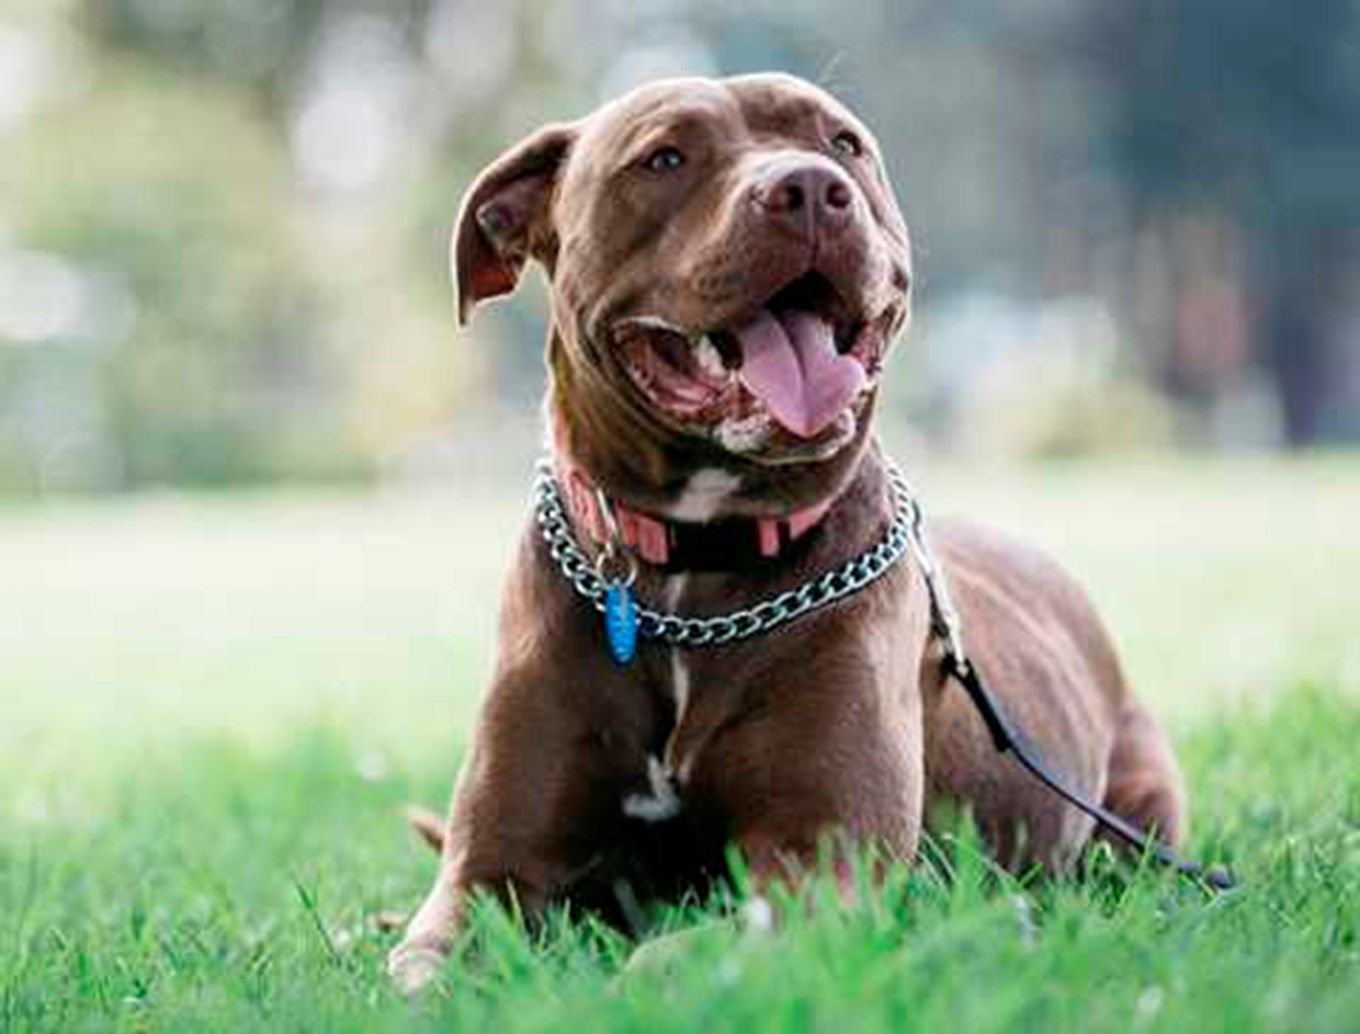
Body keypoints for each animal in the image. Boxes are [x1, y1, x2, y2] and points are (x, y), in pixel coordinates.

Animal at [389, 73, 1186, 992]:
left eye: (843, 143)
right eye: (664, 157)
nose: (808, 188)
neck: (692, 565)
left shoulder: (820, 861)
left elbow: (681, 951)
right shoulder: (488, 873)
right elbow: (425, 961)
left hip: (1138, 806)